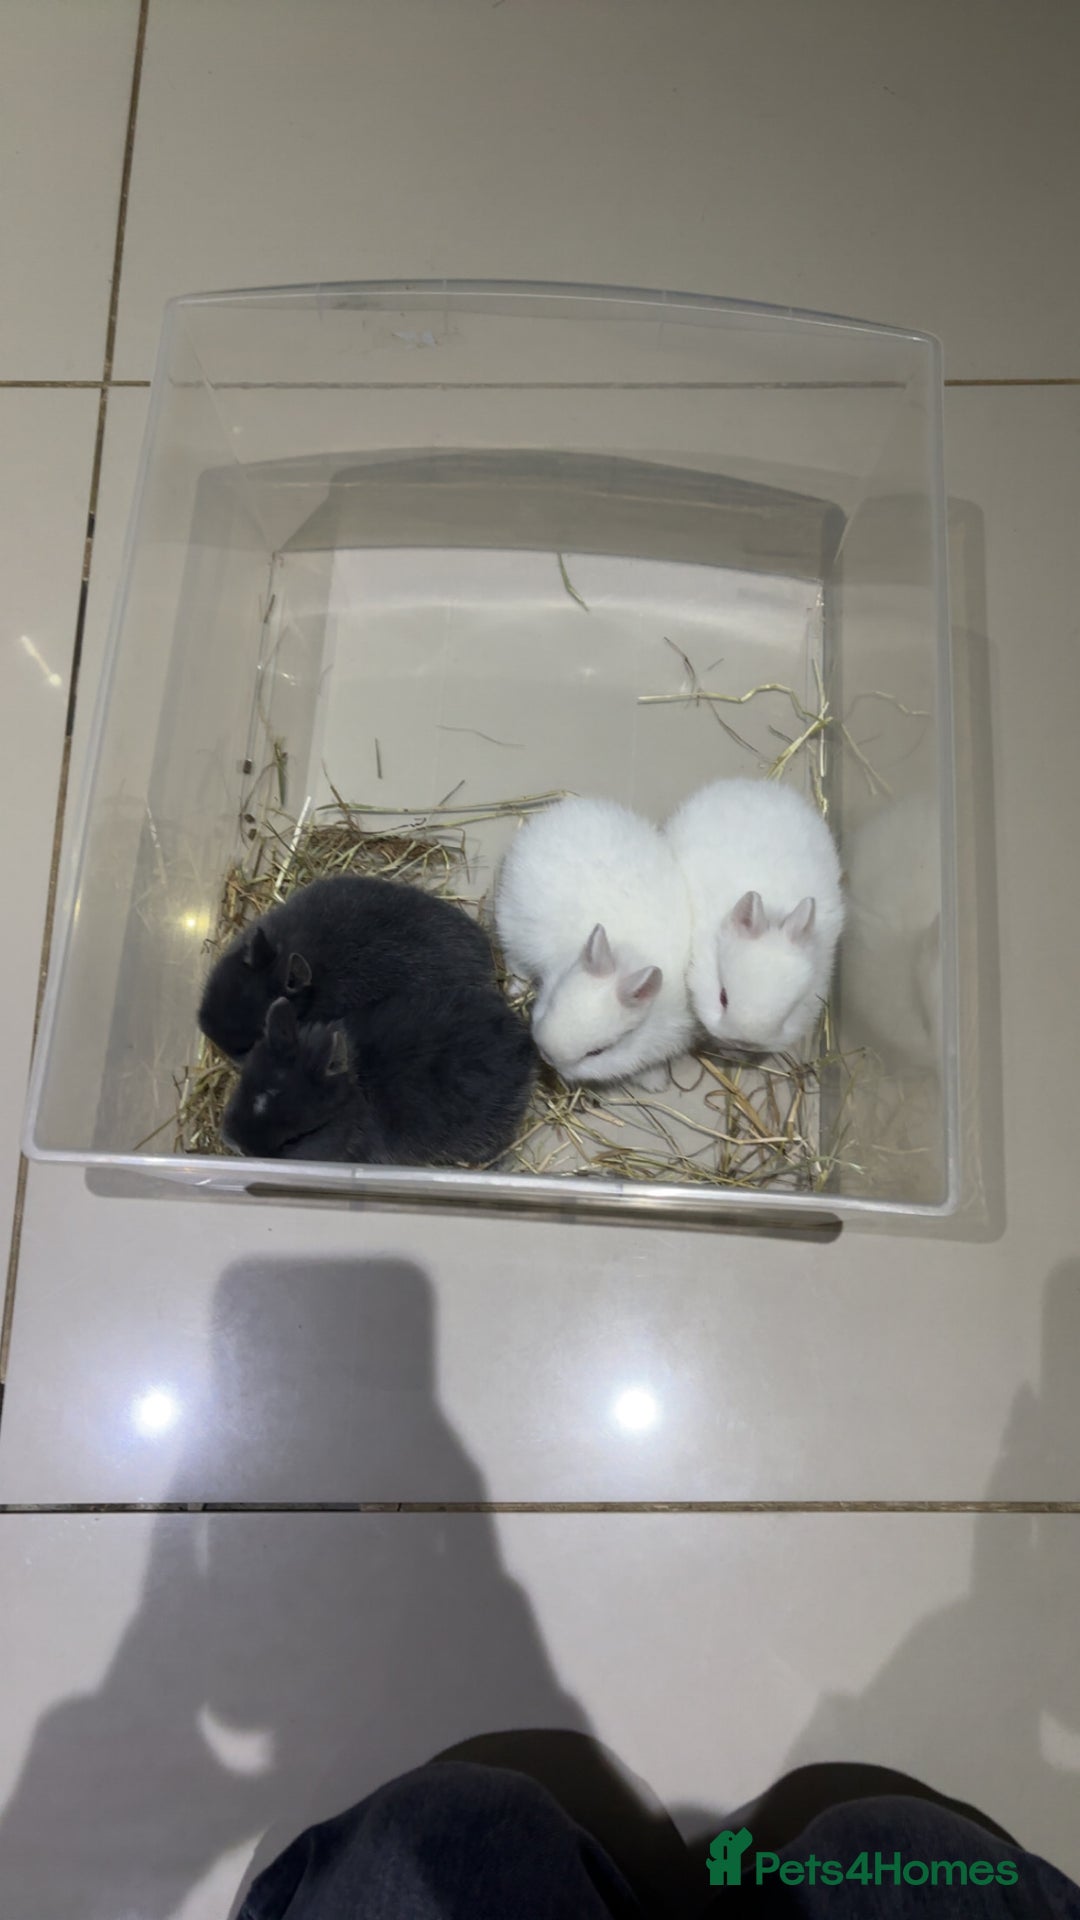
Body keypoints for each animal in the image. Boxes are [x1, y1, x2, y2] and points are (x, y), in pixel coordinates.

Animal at [494, 795, 694, 1084]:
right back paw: (516, 989)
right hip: (511, 920)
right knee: (515, 959)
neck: (628, 953)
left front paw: (655, 1082)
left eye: (598, 1052)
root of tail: (558, 812)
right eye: (551, 1001)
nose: (547, 1056)